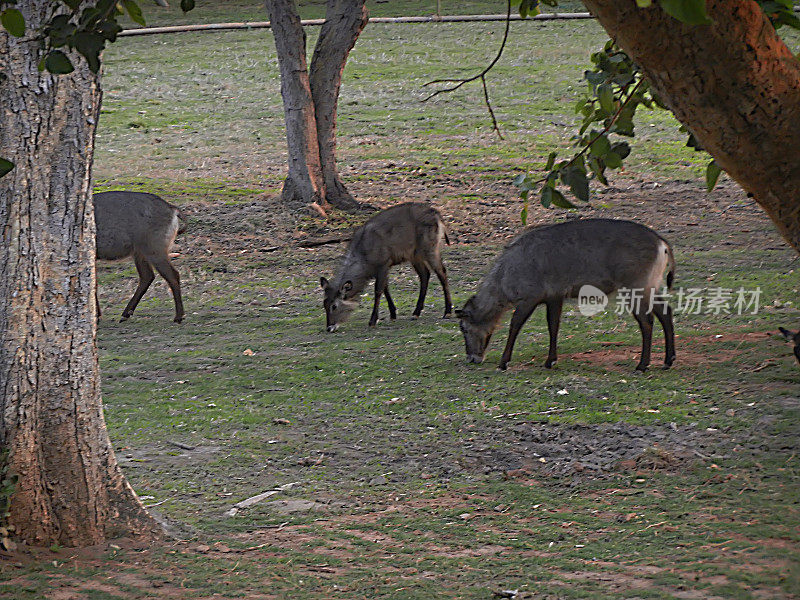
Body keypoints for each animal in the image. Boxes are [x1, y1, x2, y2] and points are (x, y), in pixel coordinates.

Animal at [94, 191, 186, 324]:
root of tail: (173, 209)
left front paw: (97, 316)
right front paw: (98, 315)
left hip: (154, 249)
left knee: (172, 275)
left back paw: (178, 317)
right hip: (140, 252)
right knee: (147, 276)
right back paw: (126, 314)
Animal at [322, 203, 454, 332]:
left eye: (334, 306)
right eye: (324, 304)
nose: (329, 327)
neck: (365, 261)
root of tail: (438, 215)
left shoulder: (383, 263)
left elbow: (378, 291)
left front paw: (372, 321)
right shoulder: (380, 269)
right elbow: (386, 289)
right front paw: (393, 314)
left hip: (430, 248)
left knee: (442, 272)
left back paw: (447, 312)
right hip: (415, 255)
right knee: (425, 274)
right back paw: (416, 313)